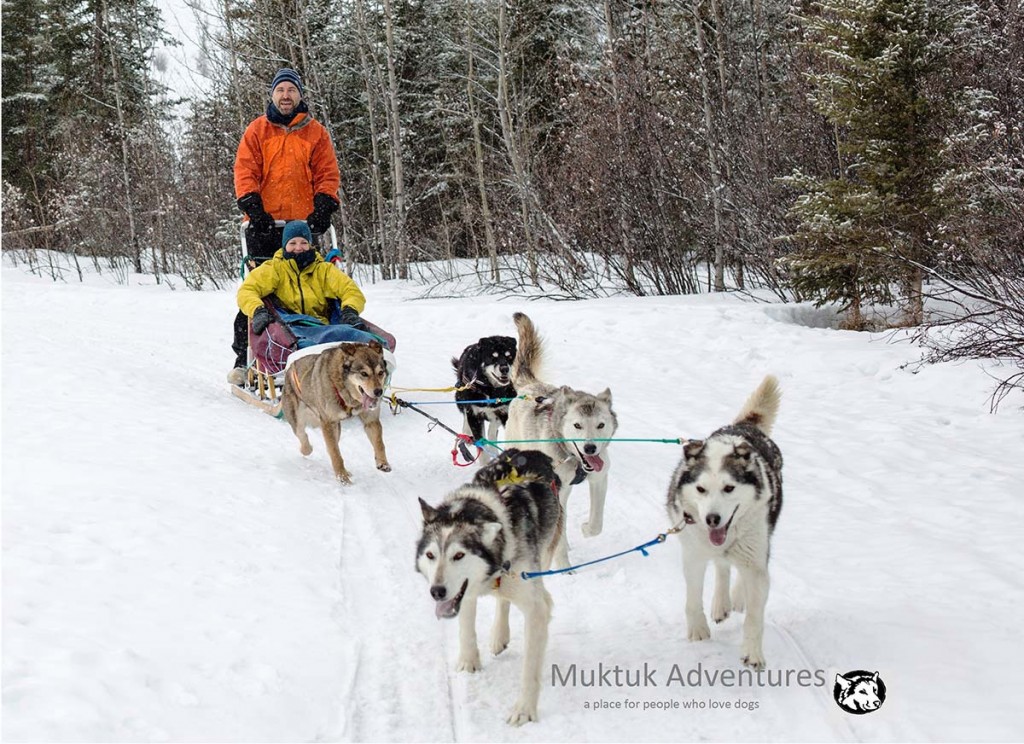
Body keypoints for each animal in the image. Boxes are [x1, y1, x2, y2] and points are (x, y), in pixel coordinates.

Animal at [280, 341, 391, 483]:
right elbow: (335, 453)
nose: (378, 392)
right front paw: (342, 476)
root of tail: (288, 369)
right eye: (364, 374)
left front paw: (383, 462)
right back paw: (306, 449)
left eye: (380, 372)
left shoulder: (371, 420)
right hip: (299, 420)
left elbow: (379, 443)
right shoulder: (328, 422)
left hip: (336, 429)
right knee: (304, 438)